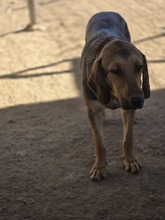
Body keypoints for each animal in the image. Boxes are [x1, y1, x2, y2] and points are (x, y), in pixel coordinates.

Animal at [80, 11, 150, 180]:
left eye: (139, 67)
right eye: (115, 71)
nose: (137, 100)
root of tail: (105, 11)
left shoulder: (128, 109)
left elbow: (128, 139)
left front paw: (130, 160)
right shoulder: (93, 111)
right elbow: (99, 144)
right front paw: (99, 167)